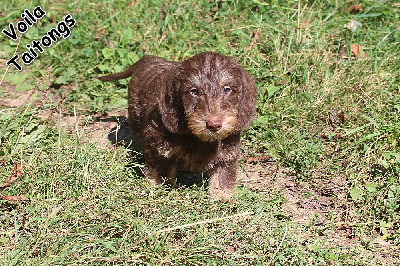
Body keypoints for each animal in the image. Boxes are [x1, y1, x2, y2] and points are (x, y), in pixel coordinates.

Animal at [98, 52, 258, 200]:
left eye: (227, 89)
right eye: (194, 91)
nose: (214, 124)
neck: (199, 138)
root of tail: (149, 58)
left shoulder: (227, 151)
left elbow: (223, 174)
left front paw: (222, 196)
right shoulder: (158, 147)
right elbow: (160, 170)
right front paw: (161, 189)